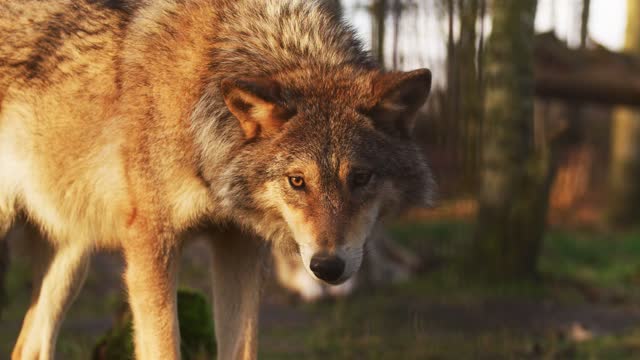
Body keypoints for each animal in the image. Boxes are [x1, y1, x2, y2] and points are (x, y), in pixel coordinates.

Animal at [0, 0, 436, 358]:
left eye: (360, 177)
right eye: (297, 181)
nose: (327, 267)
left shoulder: (239, 245)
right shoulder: (151, 245)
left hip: (72, 259)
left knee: (28, 348)